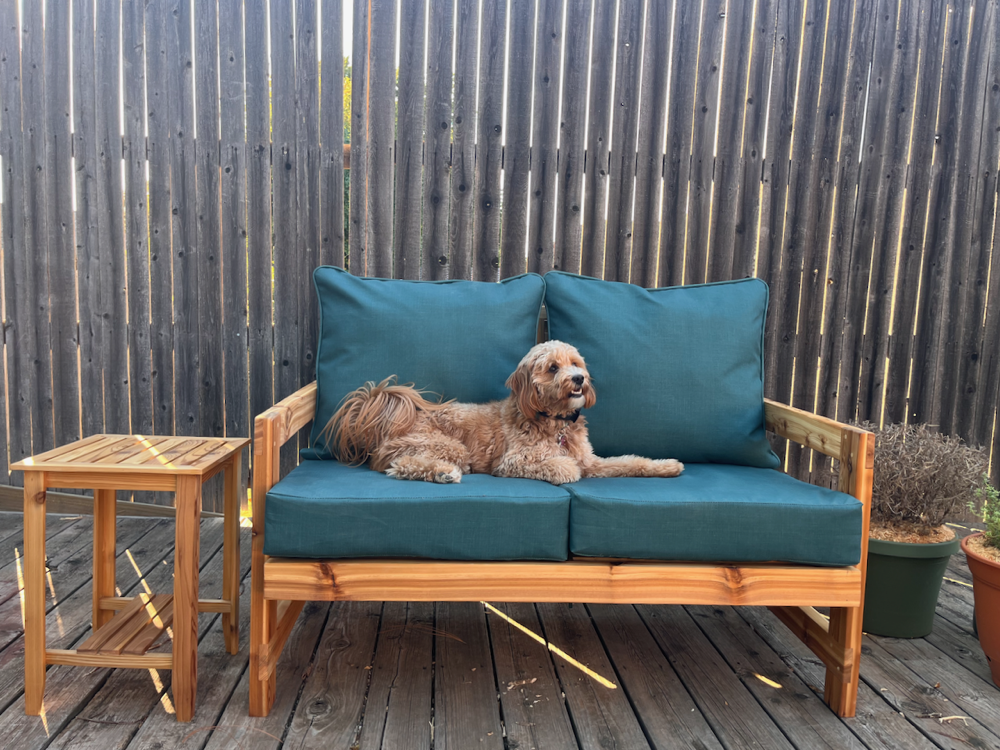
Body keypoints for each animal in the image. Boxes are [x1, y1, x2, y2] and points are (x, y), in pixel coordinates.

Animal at [324, 342, 684, 488]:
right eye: (553, 368)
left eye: (575, 363)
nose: (579, 379)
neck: (553, 421)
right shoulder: (512, 462)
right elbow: (563, 466)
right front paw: (563, 469)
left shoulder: (592, 462)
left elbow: (631, 462)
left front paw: (667, 466)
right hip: (448, 446)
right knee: (401, 466)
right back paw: (443, 473)